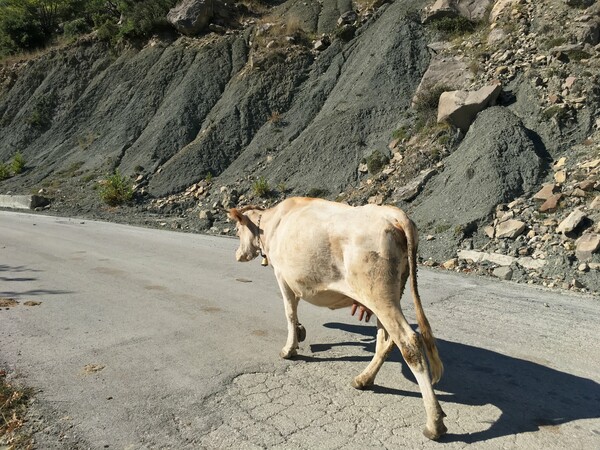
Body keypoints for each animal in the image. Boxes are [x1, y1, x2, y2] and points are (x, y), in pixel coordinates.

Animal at [227, 197, 448, 440]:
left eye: (236, 229)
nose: (238, 255)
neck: (271, 224)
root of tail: (393, 214)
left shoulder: (283, 277)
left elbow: (289, 312)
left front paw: (289, 349)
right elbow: (295, 313)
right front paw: (301, 333)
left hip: (378, 294)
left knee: (409, 342)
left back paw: (434, 423)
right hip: (389, 293)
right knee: (386, 340)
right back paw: (363, 379)